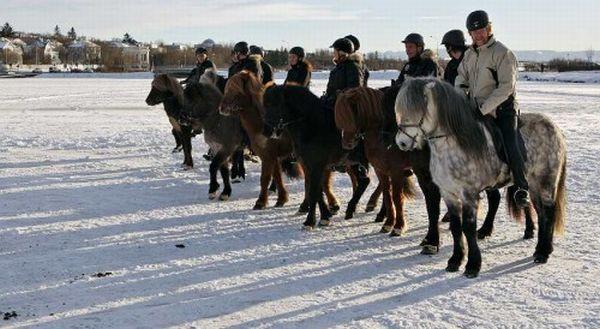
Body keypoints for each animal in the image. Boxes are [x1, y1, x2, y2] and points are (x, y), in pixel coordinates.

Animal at [219, 70, 302, 209]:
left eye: (235, 89)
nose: (221, 108)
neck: (263, 123)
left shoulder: (268, 155)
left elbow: (265, 178)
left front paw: (261, 202)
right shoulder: (271, 156)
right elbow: (276, 176)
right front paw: (281, 199)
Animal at [264, 84, 372, 228]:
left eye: (275, 104)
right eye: (265, 105)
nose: (266, 131)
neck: (314, 126)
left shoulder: (317, 166)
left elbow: (314, 191)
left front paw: (310, 221)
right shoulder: (311, 166)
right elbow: (316, 191)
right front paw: (325, 216)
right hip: (354, 162)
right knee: (364, 182)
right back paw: (351, 210)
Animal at [394, 77, 568, 276]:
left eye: (419, 110)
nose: (401, 142)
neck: (453, 145)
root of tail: (554, 128)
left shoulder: (468, 194)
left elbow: (468, 228)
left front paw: (472, 265)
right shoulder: (448, 194)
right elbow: (456, 227)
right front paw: (455, 261)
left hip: (546, 182)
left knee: (549, 212)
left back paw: (544, 253)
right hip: (533, 185)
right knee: (541, 213)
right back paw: (541, 249)